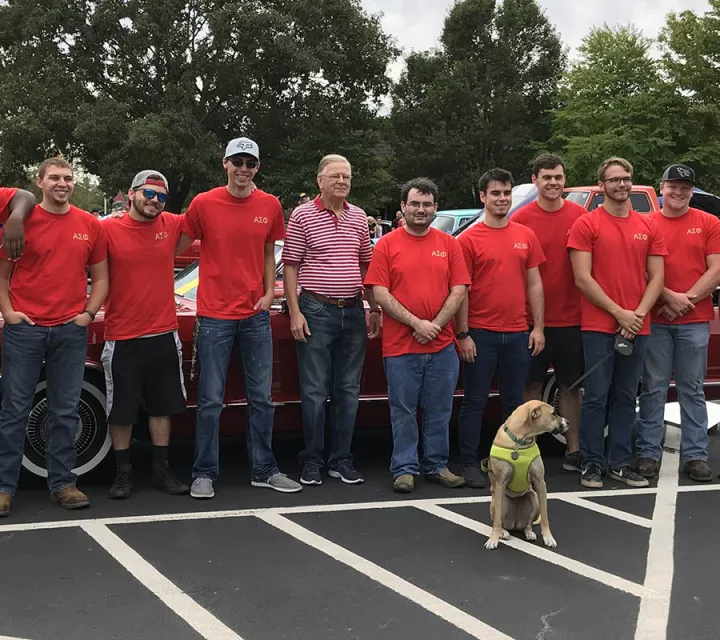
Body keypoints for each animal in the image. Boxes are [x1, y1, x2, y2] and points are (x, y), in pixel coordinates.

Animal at [484, 400, 568, 552]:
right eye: (554, 413)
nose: (568, 422)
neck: (519, 441)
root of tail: (515, 523)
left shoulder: (540, 483)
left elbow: (545, 516)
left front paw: (548, 538)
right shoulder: (500, 484)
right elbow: (497, 520)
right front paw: (493, 539)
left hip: (533, 498)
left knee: (527, 524)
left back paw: (529, 533)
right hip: (499, 500)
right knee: (500, 521)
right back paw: (503, 532)